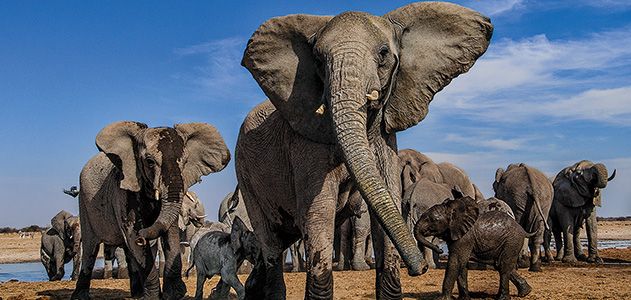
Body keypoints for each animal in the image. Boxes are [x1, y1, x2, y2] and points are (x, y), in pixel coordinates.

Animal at [71, 120, 230, 298]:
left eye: (185, 162)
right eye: (150, 162)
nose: (142, 236)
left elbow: (170, 234)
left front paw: (174, 294)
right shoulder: (123, 190)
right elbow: (133, 235)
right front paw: (155, 296)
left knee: (128, 251)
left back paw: (137, 294)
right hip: (84, 203)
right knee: (91, 249)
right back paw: (80, 297)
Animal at [237, 2, 494, 298]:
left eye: (383, 54)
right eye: (318, 60)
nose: (419, 269)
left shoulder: (385, 139)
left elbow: (386, 201)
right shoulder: (305, 143)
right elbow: (318, 212)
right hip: (245, 176)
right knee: (270, 243)